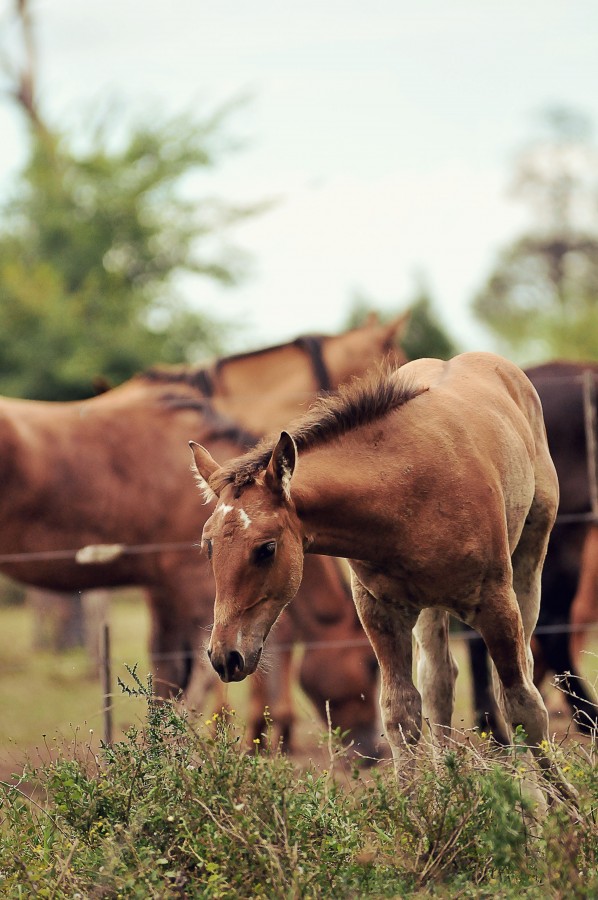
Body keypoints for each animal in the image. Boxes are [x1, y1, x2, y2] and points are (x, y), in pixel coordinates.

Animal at [190, 352, 576, 796]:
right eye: (207, 545)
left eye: (266, 548)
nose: (224, 657)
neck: (408, 489)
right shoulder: (380, 612)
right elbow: (400, 712)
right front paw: (416, 807)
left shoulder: (497, 604)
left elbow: (522, 705)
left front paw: (559, 804)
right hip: (430, 608)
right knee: (439, 681)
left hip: (530, 559)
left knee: (519, 671)